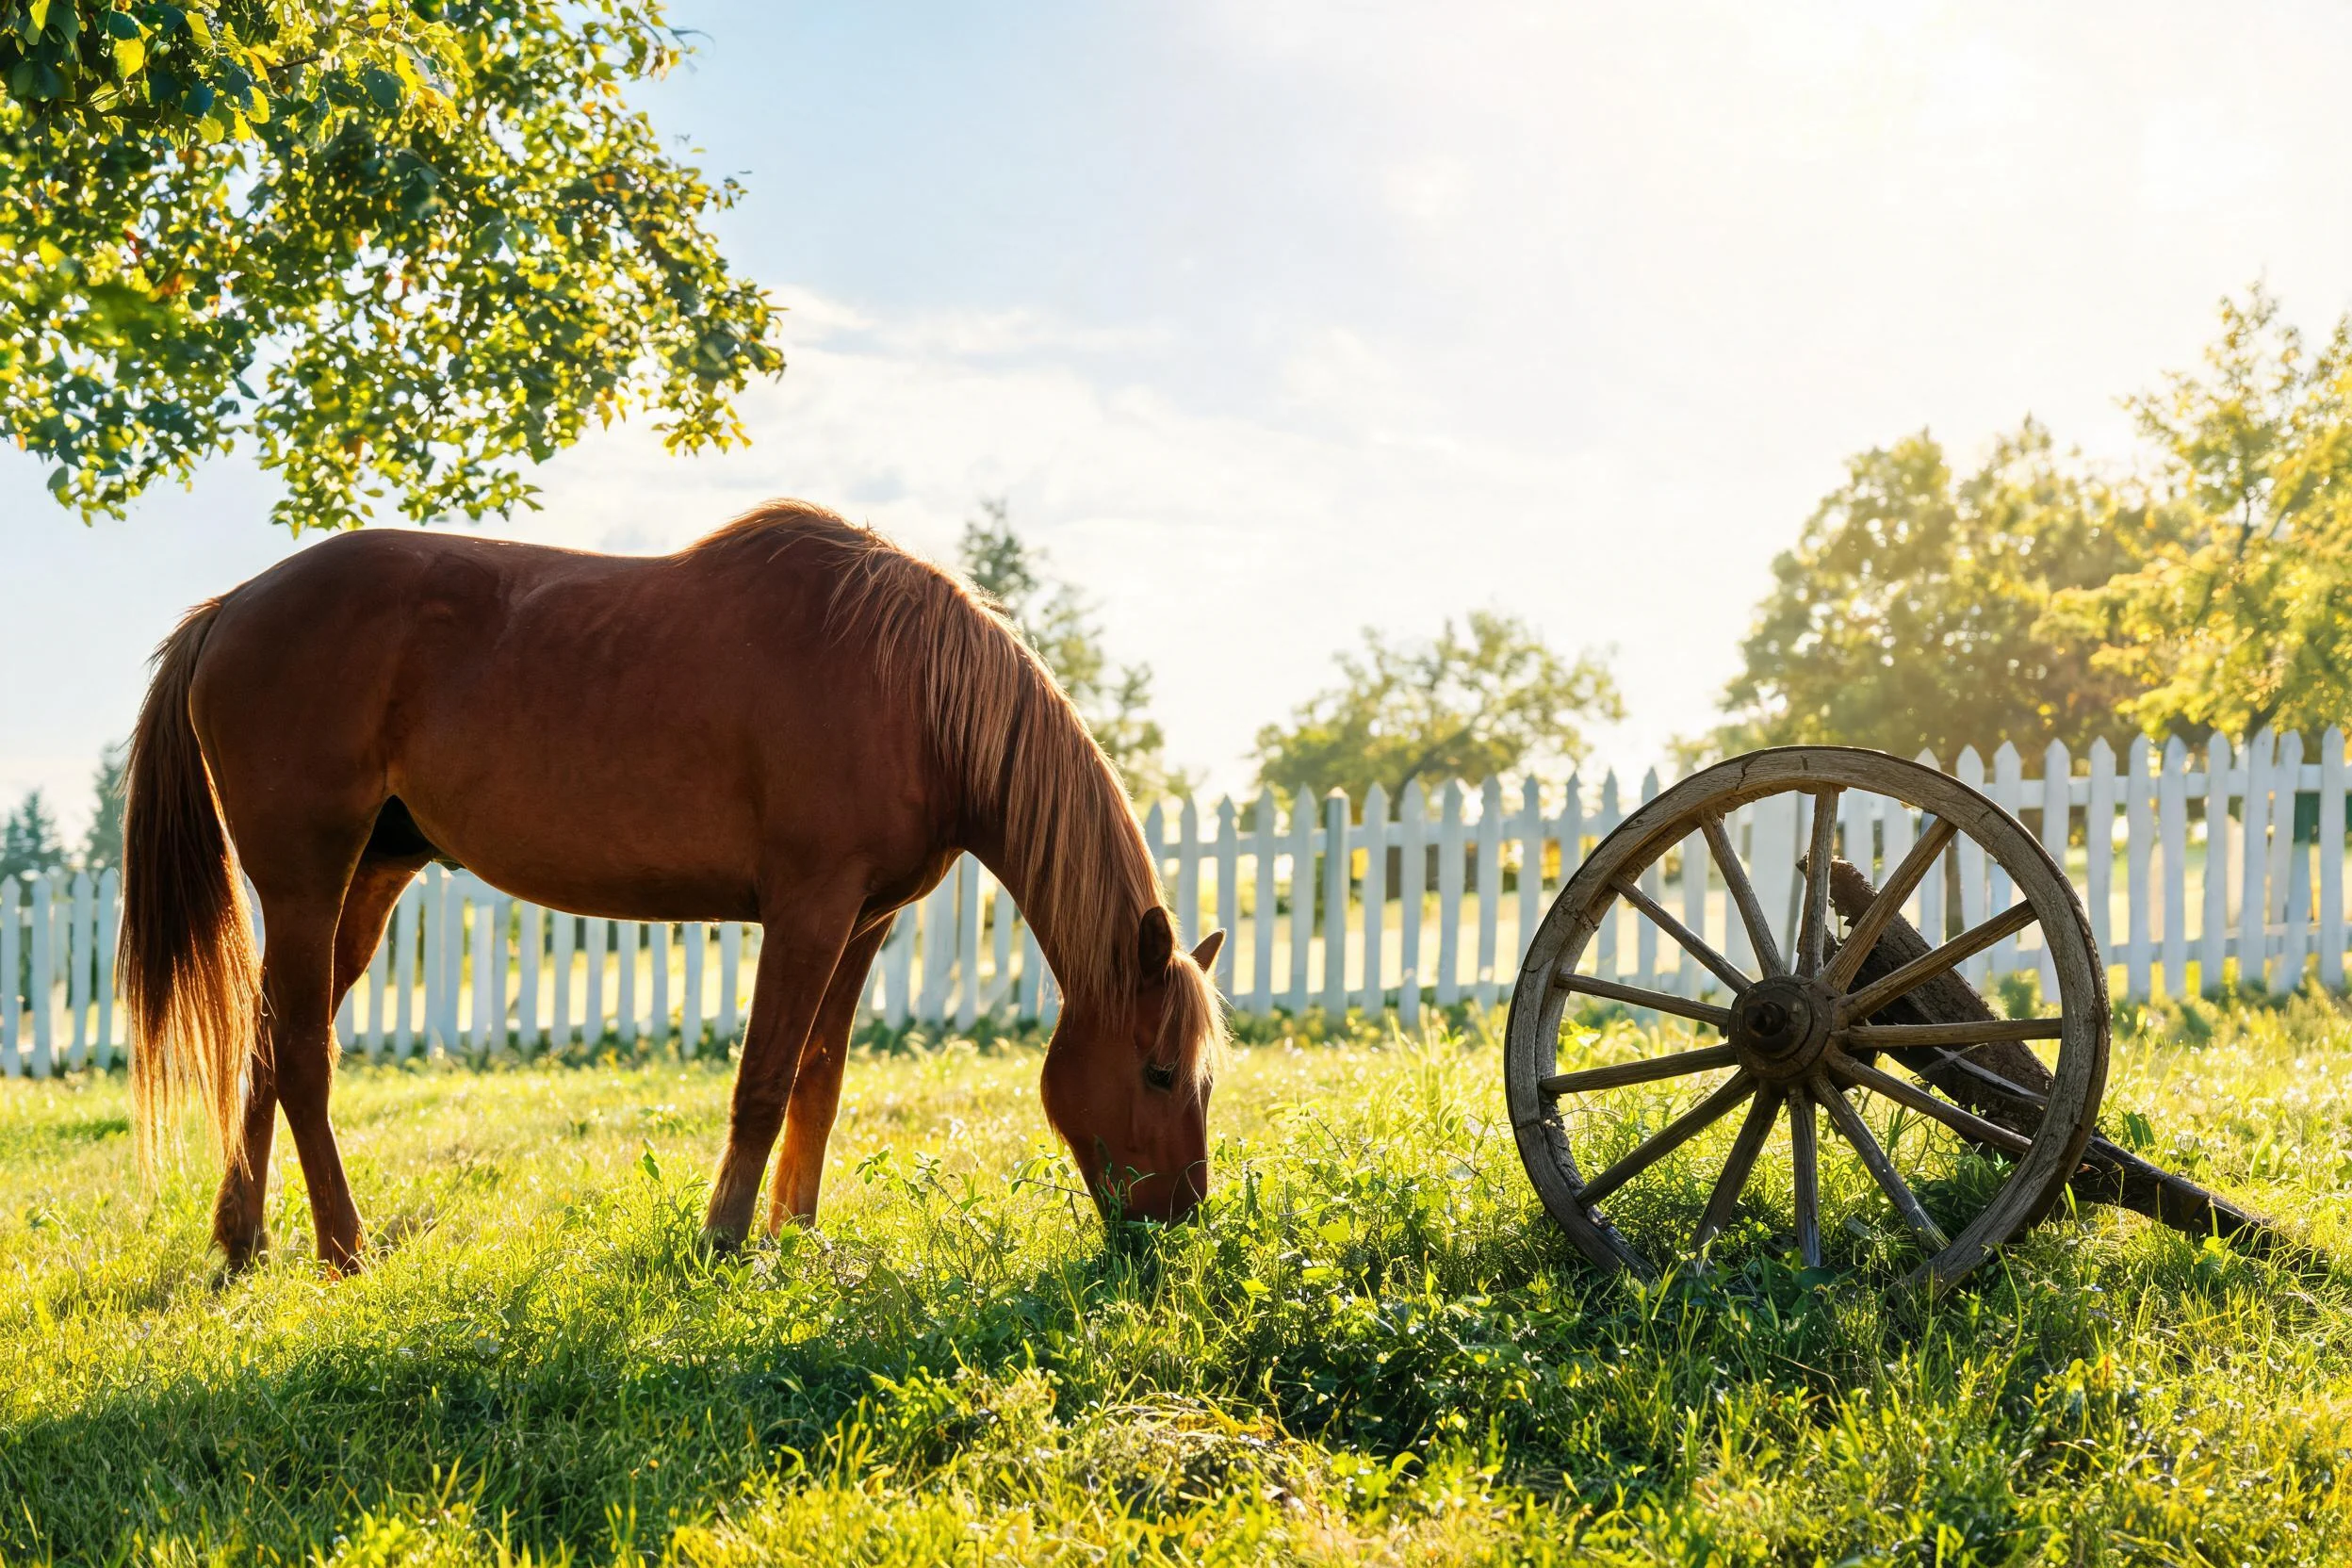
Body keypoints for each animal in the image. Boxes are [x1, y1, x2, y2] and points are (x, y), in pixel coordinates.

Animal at [119, 501, 1227, 1273]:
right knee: (304, 1058)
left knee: (267, 1047)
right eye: (1160, 1072)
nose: (1181, 1228)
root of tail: (230, 608)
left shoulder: (863, 923)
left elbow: (819, 1083)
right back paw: (344, 1247)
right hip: (306, 878)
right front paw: (728, 1238)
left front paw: (797, 1235)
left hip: (370, 880)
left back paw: (242, 1241)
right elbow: (764, 1083)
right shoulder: (809, 908)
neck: (912, 690)